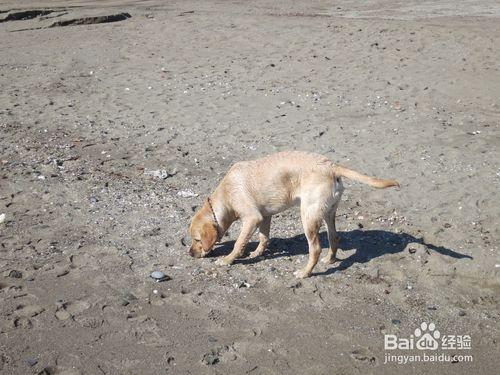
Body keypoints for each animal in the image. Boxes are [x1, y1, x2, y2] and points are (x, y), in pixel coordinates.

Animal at [188, 151, 398, 278]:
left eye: (197, 240)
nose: (189, 253)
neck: (226, 196)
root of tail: (331, 166)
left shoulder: (252, 218)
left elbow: (239, 243)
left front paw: (228, 260)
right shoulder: (265, 217)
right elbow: (264, 237)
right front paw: (257, 252)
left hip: (308, 216)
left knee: (315, 249)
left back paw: (305, 273)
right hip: (328, 213)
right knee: (334, 237)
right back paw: (329, 259)